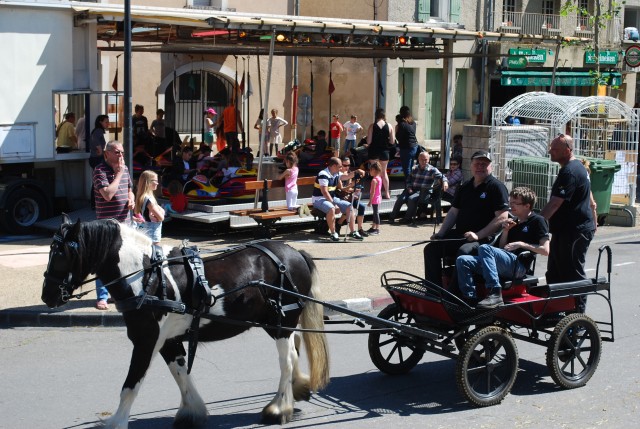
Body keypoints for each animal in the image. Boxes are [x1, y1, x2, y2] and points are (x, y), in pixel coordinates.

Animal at [41, 216, 330, 426]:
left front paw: (117, 422)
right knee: (294, 350)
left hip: (281, 322)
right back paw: (297, 389)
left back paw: (279, 408)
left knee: (286, 360)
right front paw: (193, 411)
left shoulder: (146, 341)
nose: (47, 295)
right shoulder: (168, 341)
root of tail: (294, 253)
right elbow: (180, 373)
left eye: (61, 254)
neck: (146, 277)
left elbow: (130, 386)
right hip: (276, 323)